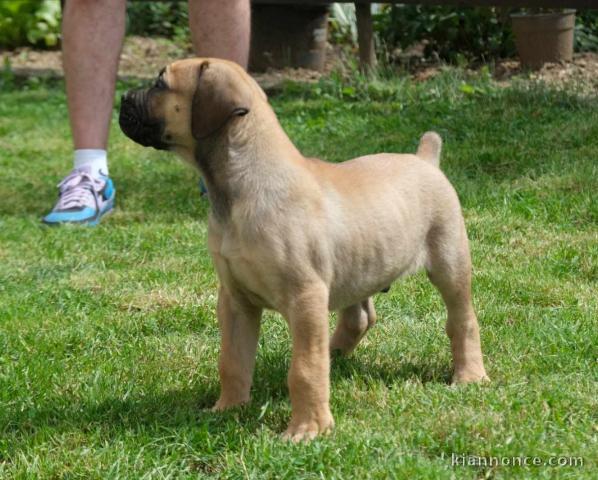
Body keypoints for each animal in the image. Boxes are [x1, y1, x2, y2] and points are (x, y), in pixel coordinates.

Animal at [119, 59, 490, 442]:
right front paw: (228, 408)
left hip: (449, 261)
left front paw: (308, 428)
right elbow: (232, 360)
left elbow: (304, 368)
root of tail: (425, 159)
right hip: (357, 264)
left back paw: (469, 375)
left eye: (160, 85)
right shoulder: (235, 300)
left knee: (462, 320)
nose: (122, 99)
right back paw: (335, 355)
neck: (241, 189)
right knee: (359, 318)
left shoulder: (305, 296)